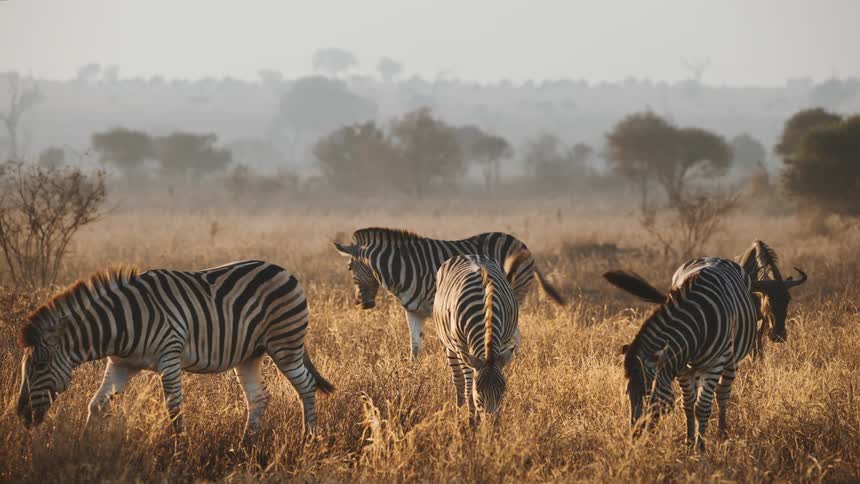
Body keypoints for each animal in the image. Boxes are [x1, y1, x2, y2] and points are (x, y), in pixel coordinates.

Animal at [16, 260, 333, 444]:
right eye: (27, 368)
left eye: (39, 366)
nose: (21, 415)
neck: (121, 324)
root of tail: (283, 269)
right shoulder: (120, 364)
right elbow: (97, 404)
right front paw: (83, 447)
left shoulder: (169, 355)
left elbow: (173, 408)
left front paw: (180, 449)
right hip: (250, 354)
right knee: (258, 397)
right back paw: (246, 445)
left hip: (285, 343)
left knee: (306, 385)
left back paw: (309, 438)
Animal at [333, 227, 563, 359]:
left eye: (349, 268)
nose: (362, 303)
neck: (402, 267)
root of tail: (521, 243)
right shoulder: (413, 311)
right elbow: (415, 346)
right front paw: (412, 373)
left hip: (513, 294)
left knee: (514, 335)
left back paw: (515, 363)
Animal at [433, 253, 524, 418]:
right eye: (479, 391)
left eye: (503, 390)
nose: (492, 423)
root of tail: (468, 255)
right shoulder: (461, 347)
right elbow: (468, 386)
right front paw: (471, 418)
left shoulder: (502, 345)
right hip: (449, 346)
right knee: (459, 382)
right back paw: (459, 413)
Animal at [604, 242, 806, 450]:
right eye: (627, 394)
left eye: (649, 396)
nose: (634, 442)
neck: (696, 324)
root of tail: (713, 258)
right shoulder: (681, 367)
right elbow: (688, 404)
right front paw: (689, 442)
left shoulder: (714, 364)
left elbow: (702, 406)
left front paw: (700, 448)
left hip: (731, 360)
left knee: (722, 394)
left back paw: (722, 434)